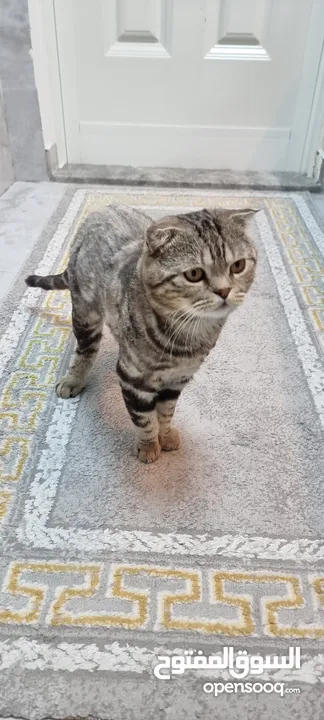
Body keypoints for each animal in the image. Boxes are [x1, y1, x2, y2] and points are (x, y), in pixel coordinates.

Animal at [24, 204, 258, 462]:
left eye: (238, 266)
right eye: (194, 274)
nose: (224, 291)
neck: (187, 337)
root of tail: (101, 209)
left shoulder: (178, 380)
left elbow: (166, 412)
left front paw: (165, 435)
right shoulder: (132, 378)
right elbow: (144, 419)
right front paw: (148, 445)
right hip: (85, 312)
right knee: (86, 349)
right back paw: (74, 378)